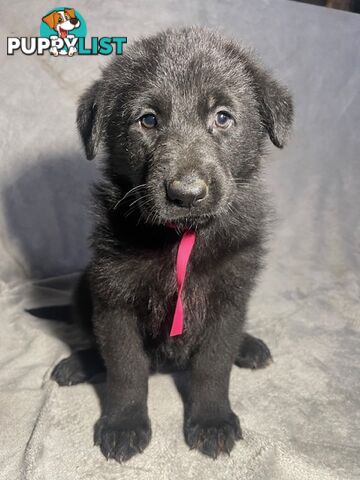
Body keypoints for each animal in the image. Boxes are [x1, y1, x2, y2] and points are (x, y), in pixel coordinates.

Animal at [51, 28, 292, 464]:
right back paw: (78, 364)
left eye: (223, 116)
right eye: (148, 119)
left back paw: (248, 346)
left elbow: (214, 364)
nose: (187, 194)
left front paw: (211, 419)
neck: (181, 238)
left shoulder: (228, 298)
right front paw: (123, 423)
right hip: (83, 285)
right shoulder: (114, 300)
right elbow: (125, 368)